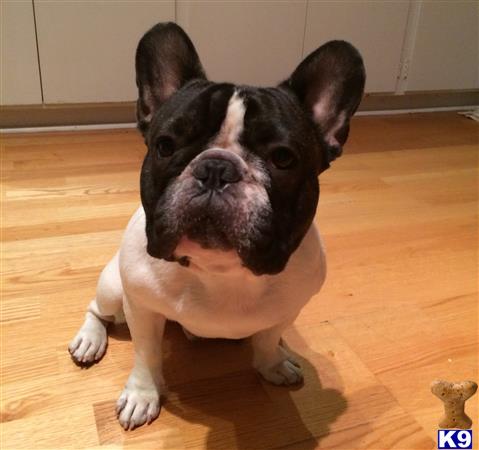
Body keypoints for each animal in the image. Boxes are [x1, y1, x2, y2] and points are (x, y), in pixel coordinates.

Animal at [69, 22, 366, 428]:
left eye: (283, 158)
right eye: (165, 146)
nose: (216, 168)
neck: (221, 272)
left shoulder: (289, 309)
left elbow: (268, 338)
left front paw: (272, 364)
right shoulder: (141, 309)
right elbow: (146, 355)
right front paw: (143, 395)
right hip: (115, 290)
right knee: (97, 309)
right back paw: (90, 339)